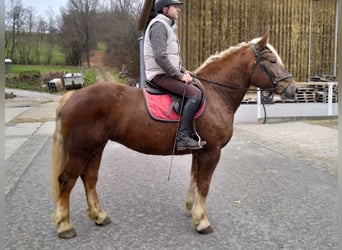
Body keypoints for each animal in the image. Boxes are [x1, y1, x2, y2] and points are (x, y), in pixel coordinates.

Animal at [50, 33, 296, 238]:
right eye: (271, 61)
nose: (292, 89)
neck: (215, 94)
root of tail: (72, 96)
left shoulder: (200, 151)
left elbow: (194, 180)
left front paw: (192, 211)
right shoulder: (212, 152)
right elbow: (204, 184)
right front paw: (202, 221)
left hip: (96, 148)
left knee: (89, 178)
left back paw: (99, 215)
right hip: (81, 151)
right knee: (66, 180)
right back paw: (65, 226)